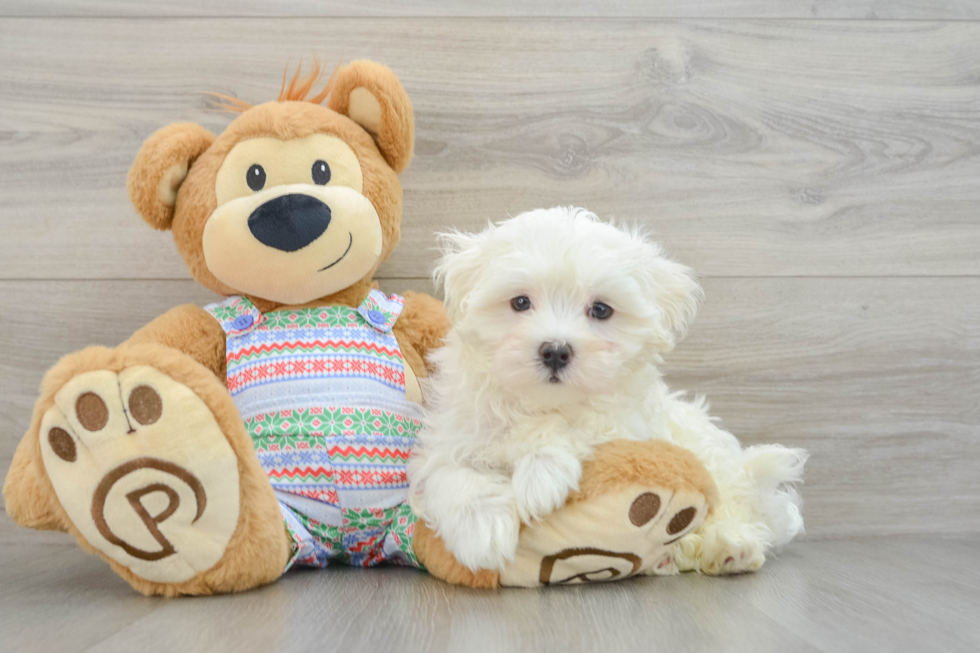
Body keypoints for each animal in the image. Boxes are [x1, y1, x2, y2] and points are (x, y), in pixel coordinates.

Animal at [410, 206, 808, 572]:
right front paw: (481, 532)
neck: (541, 404)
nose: (556, 351)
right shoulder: (454, 432)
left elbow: (581, 427)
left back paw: (728, 547)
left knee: (739, 511)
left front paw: (540, 476)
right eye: (520, 302)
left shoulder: (628, 423)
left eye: (601, 310)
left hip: (715, 464)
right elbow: (448, 472)